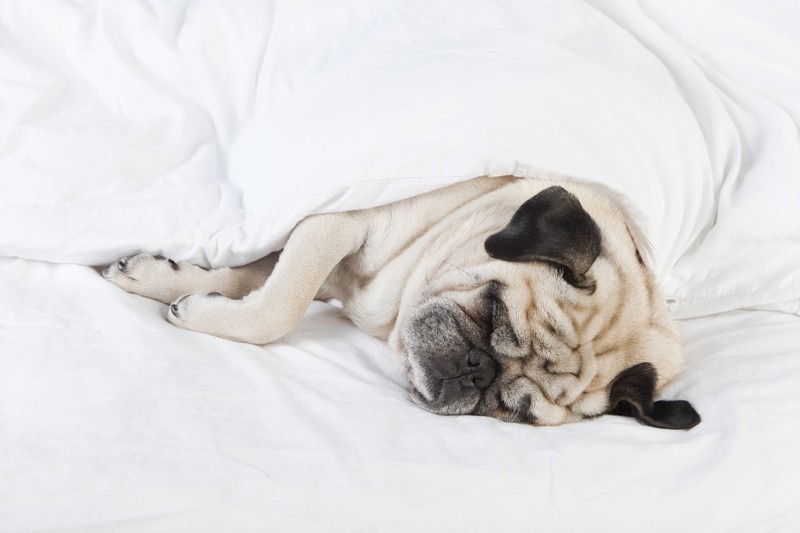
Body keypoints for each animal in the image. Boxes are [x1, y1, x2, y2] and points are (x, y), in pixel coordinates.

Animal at [104, 177, 700, 430]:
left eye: (512, 411)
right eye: (493, 309)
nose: (479, 369)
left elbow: (262, 284)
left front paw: (178, 285)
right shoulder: (336, 221)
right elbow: (278, 301)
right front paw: (169, 284)